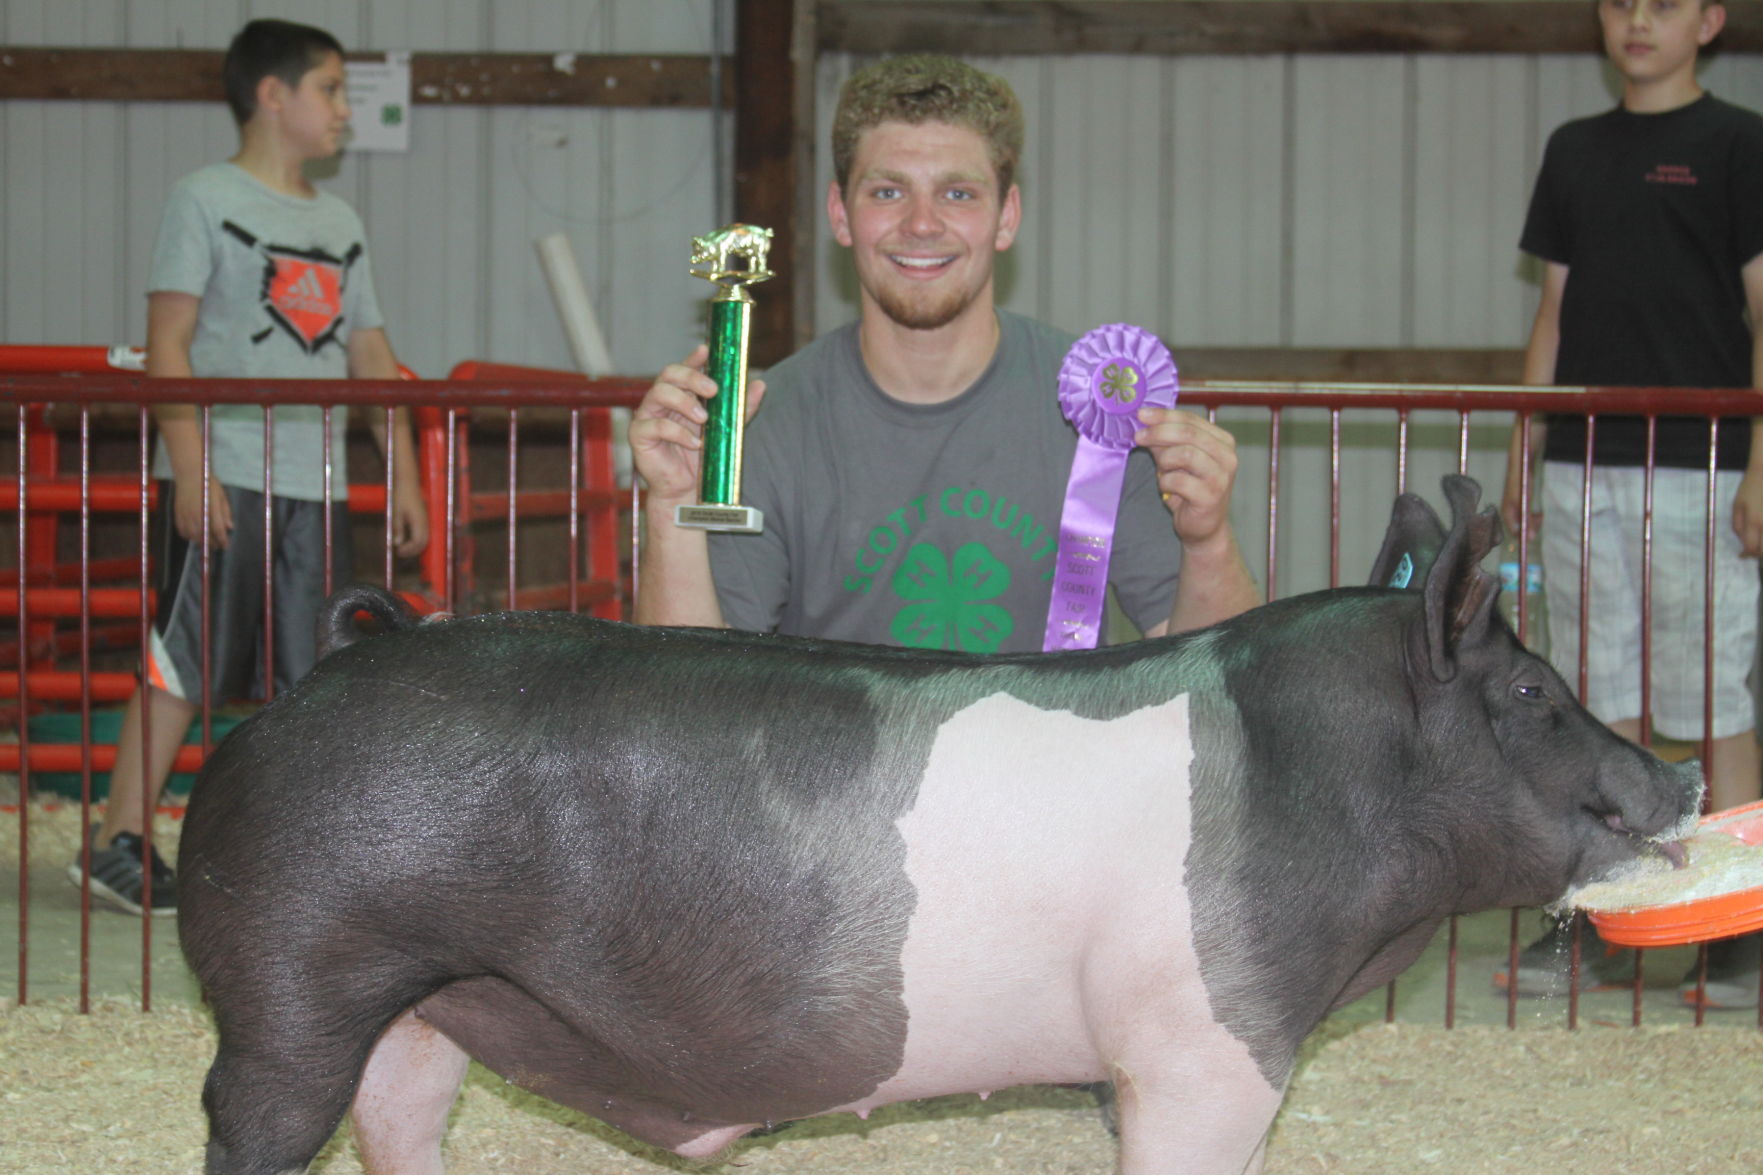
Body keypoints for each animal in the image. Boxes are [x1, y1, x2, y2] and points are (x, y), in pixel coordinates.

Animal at [175, 476, 1692, 1171]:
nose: (1675, 779)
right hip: (290, 980)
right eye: (1531, 691)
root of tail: (333, 661)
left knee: (402, 1119)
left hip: (421, 1008)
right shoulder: (1205, 1040)